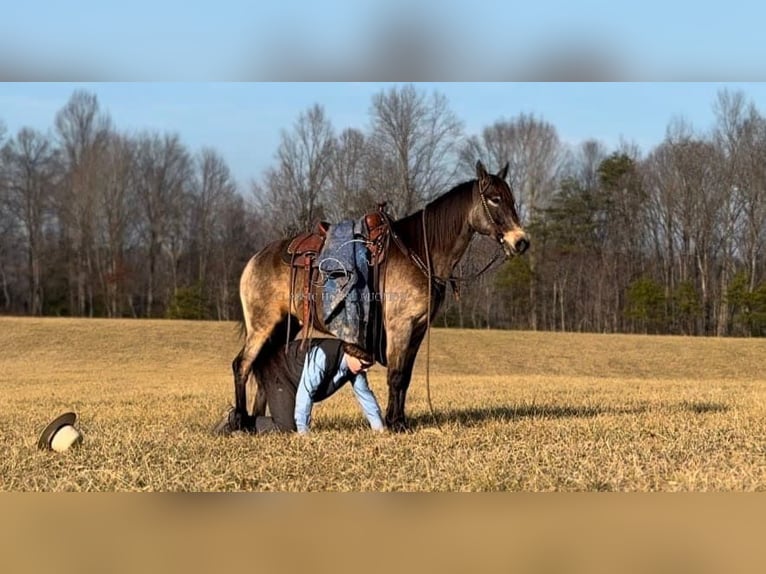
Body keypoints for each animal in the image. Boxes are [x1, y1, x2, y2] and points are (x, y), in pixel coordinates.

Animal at [228, 160, 528, 434]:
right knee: (242, 365)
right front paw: (395, 423)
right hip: (262, 325)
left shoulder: (418, 329)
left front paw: (401, 420)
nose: (521, 242)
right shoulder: (400, 327)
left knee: (262, 366)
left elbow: (405, 377)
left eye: (511, 199)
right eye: (495, 199)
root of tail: (256, 259)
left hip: (284, 326)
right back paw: (240, 421)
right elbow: (395, 375)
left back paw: (256, 419)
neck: (419, 252)